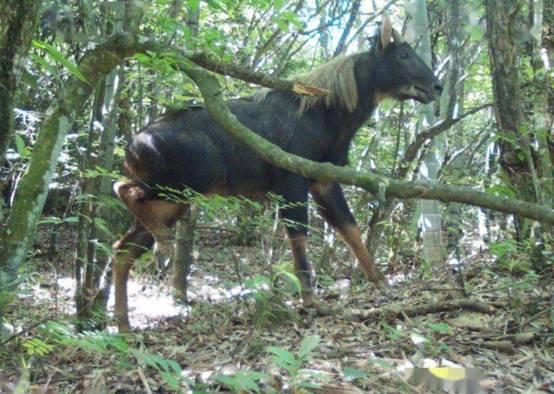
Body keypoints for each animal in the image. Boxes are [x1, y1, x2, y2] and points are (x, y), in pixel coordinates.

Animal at [111, 14, 440, 330]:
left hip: (173, 200)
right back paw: (163, 246)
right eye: (403, 54)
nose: (436, 86)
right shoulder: (291, 180)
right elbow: (300, 235)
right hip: (187, 182)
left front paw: (380, 281)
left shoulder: (323, 181)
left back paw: (125, 324)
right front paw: (310, 299)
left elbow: (349, 227)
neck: (331, 117)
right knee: (122, 189)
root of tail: (130, 148)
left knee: (123, 248)